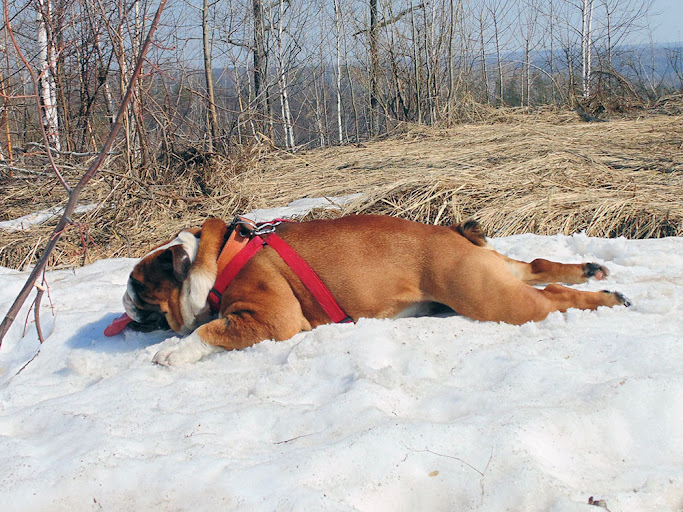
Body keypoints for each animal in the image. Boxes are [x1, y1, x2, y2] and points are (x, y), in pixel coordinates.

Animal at [123, 214, 632, 366]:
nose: (124, 301)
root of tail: (453, 234)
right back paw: (591, 270)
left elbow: (209, 331)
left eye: (138, 285)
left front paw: (173, 353)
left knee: (551, 295)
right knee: (539, 266)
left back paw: (607, 299)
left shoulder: (270, 317)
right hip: (495, 273)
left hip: (492, 298)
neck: (215, 260)